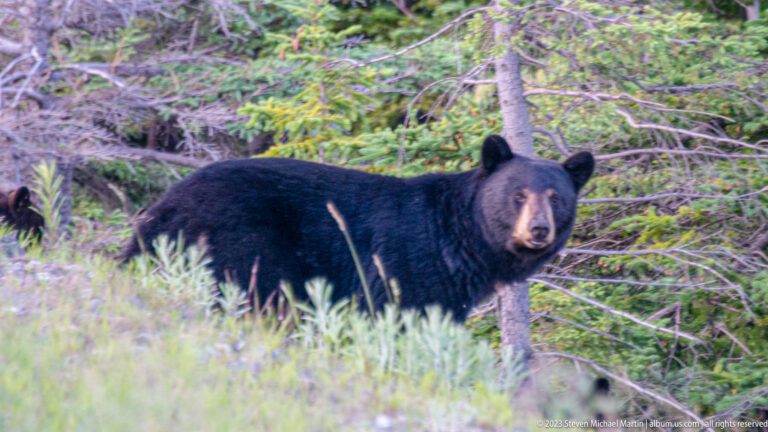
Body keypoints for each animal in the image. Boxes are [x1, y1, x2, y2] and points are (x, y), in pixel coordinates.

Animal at [122, 135, 594, 321]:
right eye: (518, 195)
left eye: (555, 197)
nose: (538, 229)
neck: (460, 243)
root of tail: (164, 204)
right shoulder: (405, 264)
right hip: (239, 240)